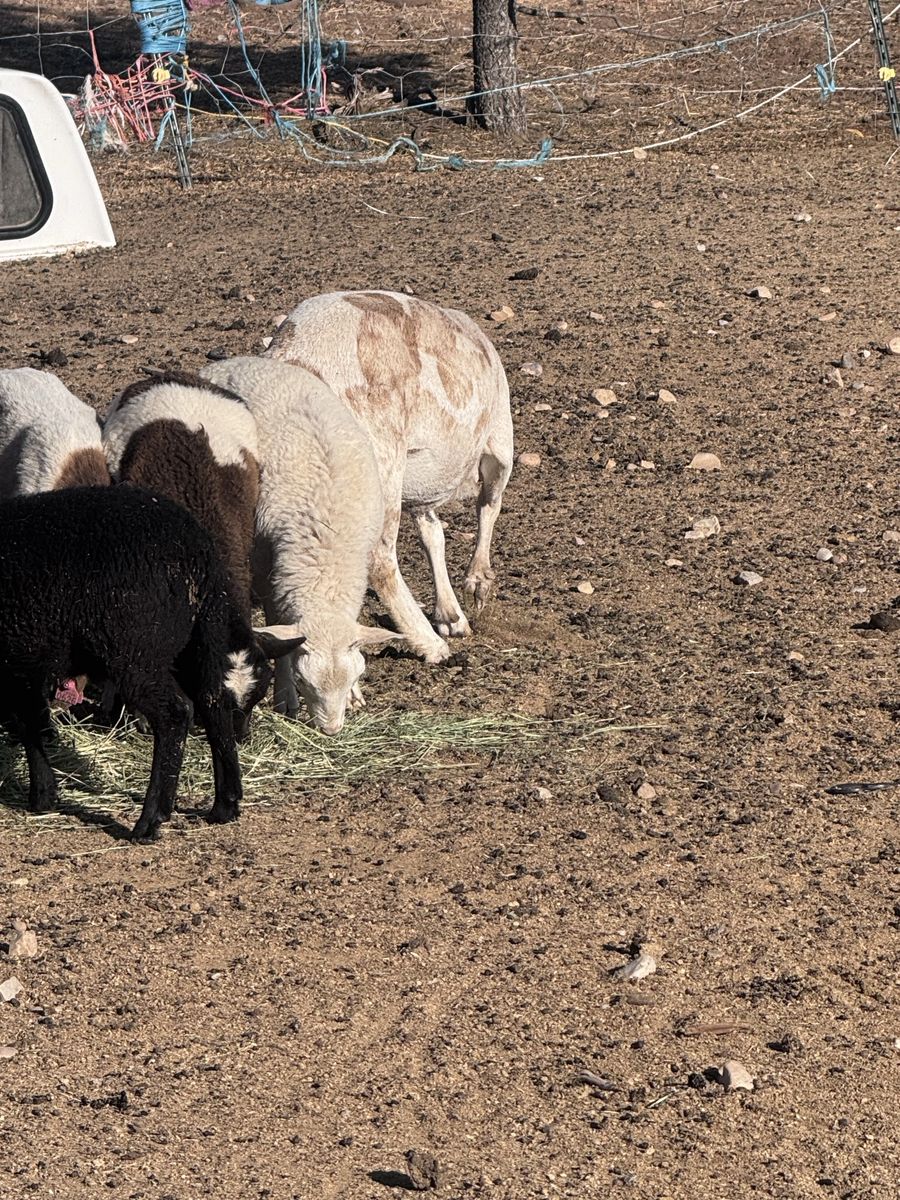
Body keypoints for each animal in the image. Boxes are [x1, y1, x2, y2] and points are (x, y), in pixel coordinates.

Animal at [0, 485, 304, 841]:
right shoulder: (22, 666)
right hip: (194, 642)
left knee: (174, 714)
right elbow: (29, 724)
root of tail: (196, 549)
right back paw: (224, 806)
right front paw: (43, 795)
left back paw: (149, 820)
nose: (246, 736)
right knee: (212, 702)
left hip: (134, 649)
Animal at [200, 356, 396, 736]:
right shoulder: (269, 568)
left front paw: (355, 697)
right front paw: (285, 697)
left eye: (355, 676)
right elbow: (279, 633)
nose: (331, 731)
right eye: (307, 683)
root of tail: (238, 361)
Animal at [265, 290, 514, 664]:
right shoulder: (499, 445)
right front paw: (477, 584)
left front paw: (451, 614)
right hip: (381, 463)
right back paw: (429, 644)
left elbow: (433, 535)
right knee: (379, 560)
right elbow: (488, 507)